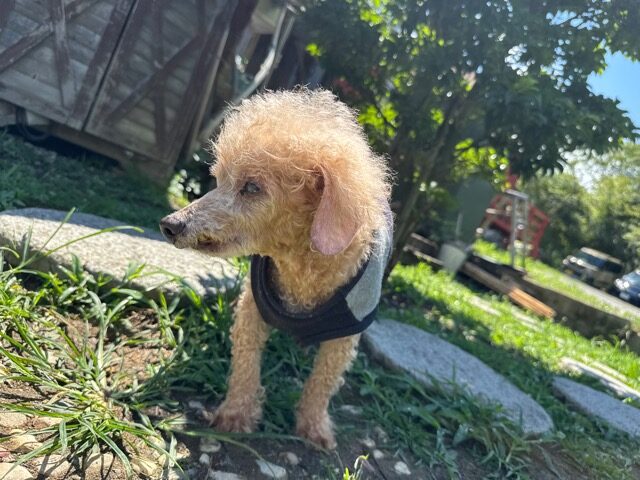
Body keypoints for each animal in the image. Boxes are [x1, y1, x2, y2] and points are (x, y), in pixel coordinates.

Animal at [160, 89, 392, 449]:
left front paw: (314, 428)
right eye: (218, 180)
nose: (170, 225)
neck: (300, 265)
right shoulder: (252, 308)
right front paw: (236, 415)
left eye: (252, 187)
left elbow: (323, 382)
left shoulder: (346, 333)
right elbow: (245, 364)